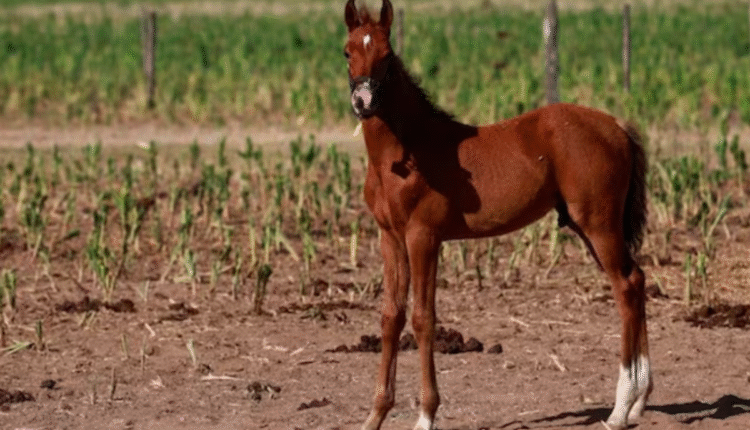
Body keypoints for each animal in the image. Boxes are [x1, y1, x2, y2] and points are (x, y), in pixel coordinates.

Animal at [343, 1, 651, 429]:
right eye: (347, 52)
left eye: (387, 55)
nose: (363, 100)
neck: (405, 154)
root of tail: (617, 125)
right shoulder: (390, 238)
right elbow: (391, 317)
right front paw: (375, 415)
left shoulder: (424, 237)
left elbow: (423, 318)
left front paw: (426, 415)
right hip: (589, 226)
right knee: (636, 280)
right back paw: (638, 402)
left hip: (599, 223)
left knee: (625, 286)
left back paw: (620, 409)